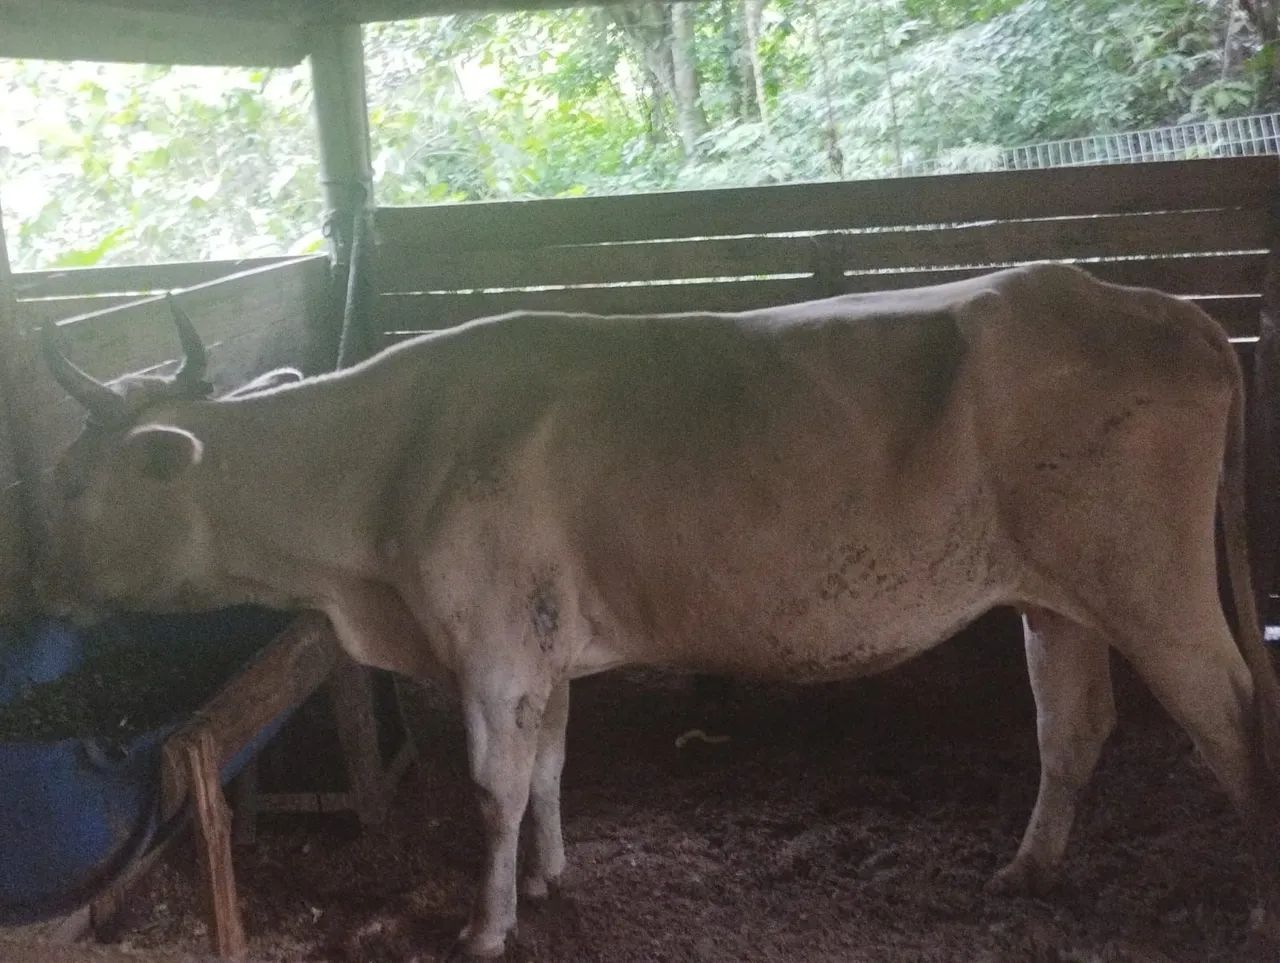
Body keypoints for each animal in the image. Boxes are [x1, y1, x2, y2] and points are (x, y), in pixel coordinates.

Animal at [38, 262, 1280, 956]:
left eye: (70, 485)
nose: (37, 583)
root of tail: (1156, 305)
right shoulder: (541, 643)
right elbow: (548, 765)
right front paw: (549, 880)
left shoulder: (490, 640)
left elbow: (493, 786)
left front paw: (487, 926)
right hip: (1055, 596)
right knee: (1071, 726)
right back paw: (1024, 871)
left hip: (1152, 584)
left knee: (1231, 719)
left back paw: (1256, 912)